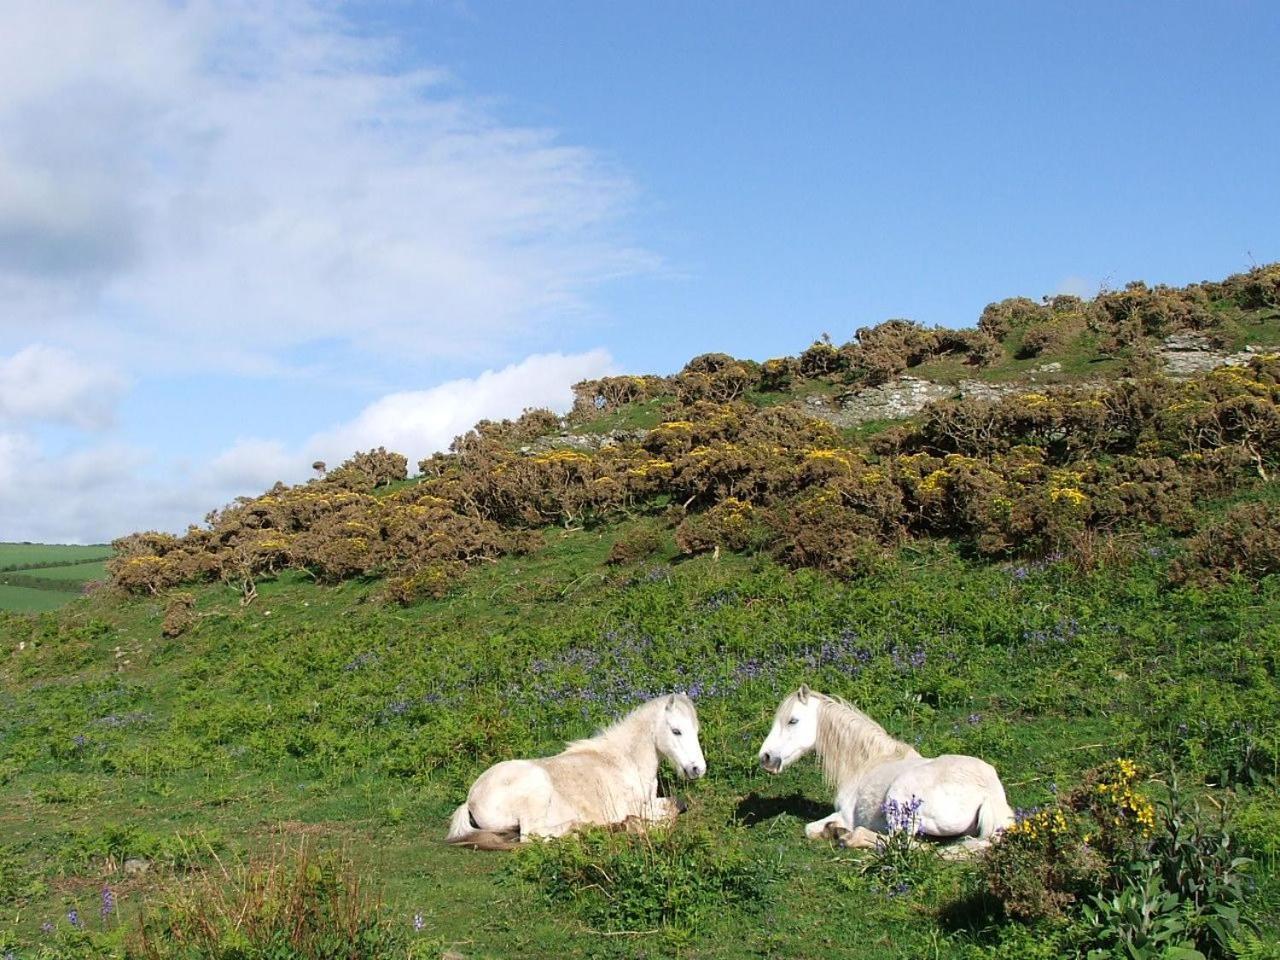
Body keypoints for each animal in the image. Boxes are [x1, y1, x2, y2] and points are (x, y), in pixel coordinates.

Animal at [448, 696, 711, 855]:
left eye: (696, 730)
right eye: (676, 731)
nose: (698, 769)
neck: (626, 762)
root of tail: (470, 799)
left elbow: (677, 803)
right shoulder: (632, 806)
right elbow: (670, 810)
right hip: (537, 788)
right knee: (530, 836)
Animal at [757, 686, 1008, 855]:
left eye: (792, 721)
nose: (765, 758)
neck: (868, 762)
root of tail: (988, 792)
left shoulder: (846, 815)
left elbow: (810, 829)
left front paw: (836, 831)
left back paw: (846, 837)